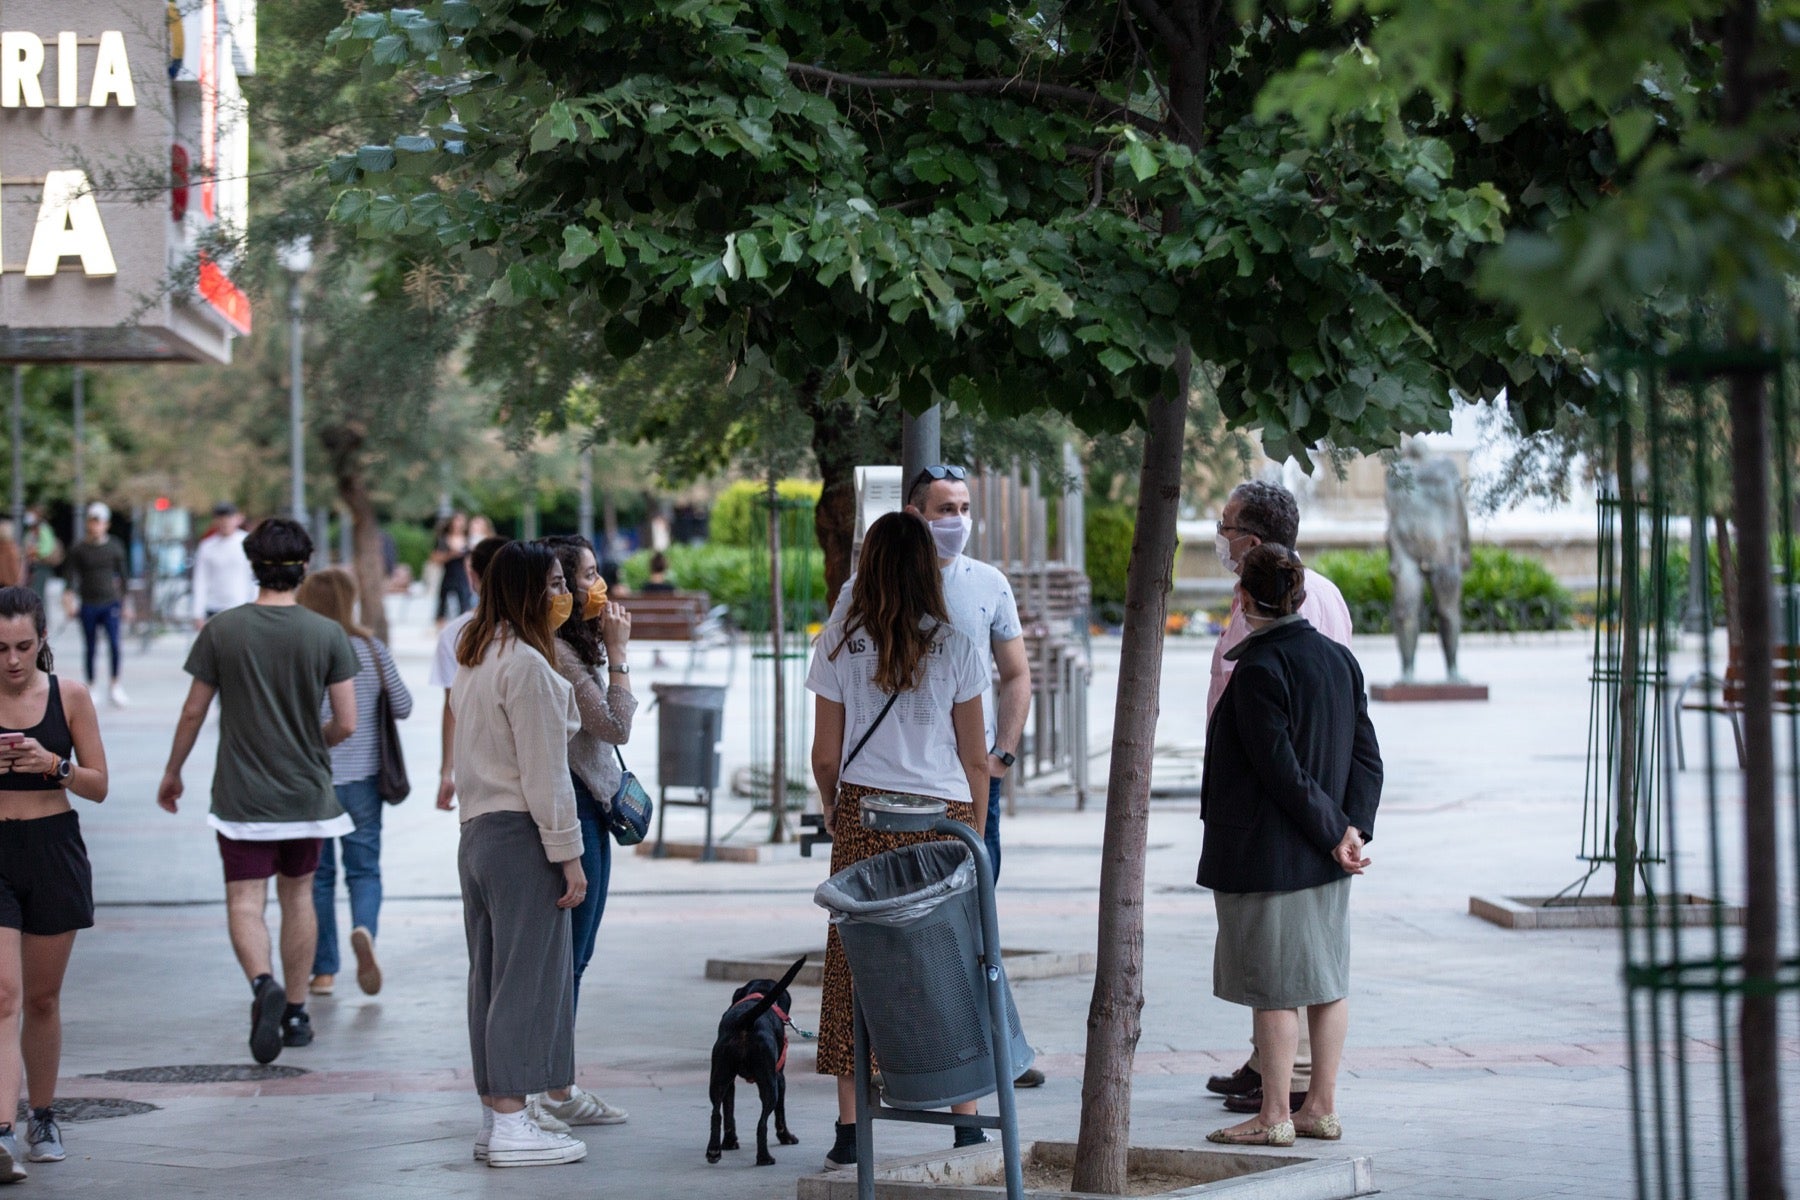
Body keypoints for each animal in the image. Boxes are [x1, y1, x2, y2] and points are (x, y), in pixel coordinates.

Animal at [705, 957, 806, 1165]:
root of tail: (746, 1020)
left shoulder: (730, 1083)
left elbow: (729, 1112)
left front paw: (729, 1142)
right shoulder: (780, 1077)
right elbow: (780, 1113)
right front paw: (786, 1137)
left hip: (719, 1078)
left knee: (716, 1113)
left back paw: (714, 1151)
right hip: (769, 1084)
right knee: (762, 1123)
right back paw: (764, 1157)